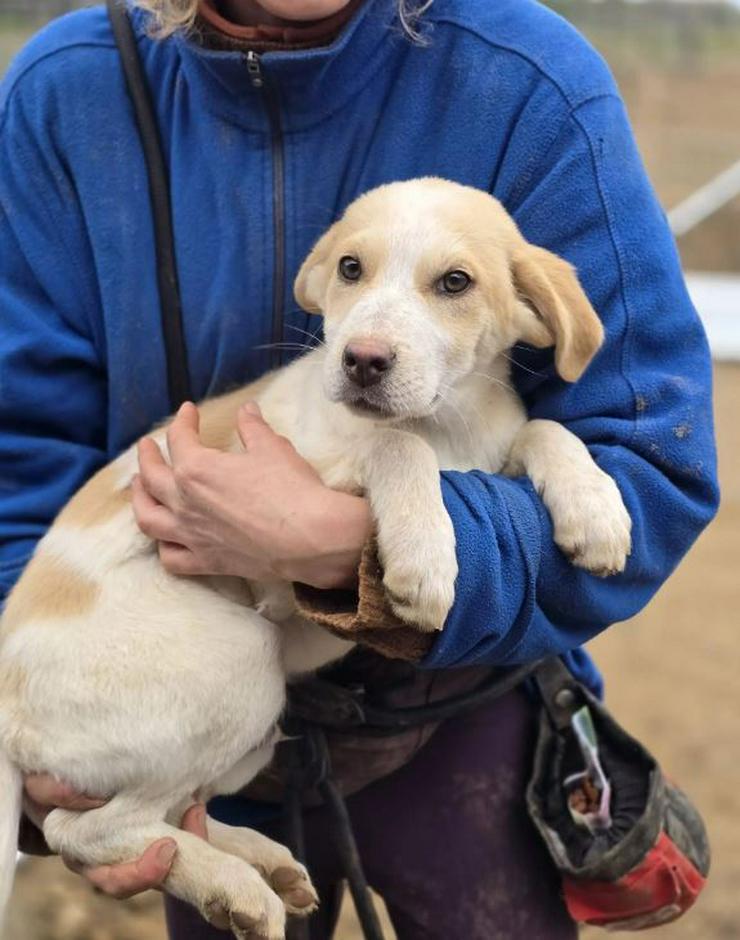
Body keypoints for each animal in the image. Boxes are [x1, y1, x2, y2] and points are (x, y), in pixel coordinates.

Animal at [0, 178, 632, 940]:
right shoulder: (293, 494)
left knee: (165, 812)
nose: (361, 360)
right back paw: (233, 885)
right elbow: (393, 445)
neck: (445, 423)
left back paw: (256, 863)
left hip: (247, 733)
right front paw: (424, 554)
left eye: (456, 282)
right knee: (82, 828)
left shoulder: (491, 445)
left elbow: (544, 428)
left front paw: (595, 510)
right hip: (240, 661)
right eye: (350, 268)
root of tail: (3, 707)